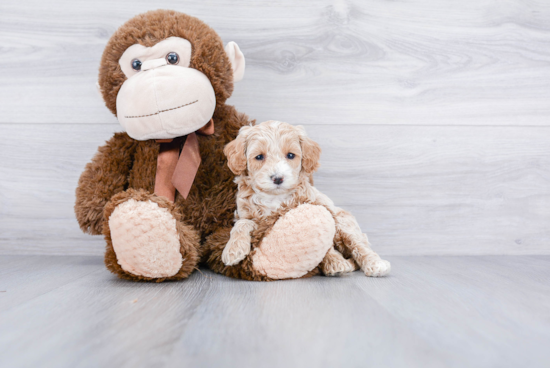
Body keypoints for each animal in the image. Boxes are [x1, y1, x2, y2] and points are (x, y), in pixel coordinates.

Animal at [221, 119, 392, 278]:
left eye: (290, 155)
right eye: (259, 157)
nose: (278, 178)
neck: (275, 198)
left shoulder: (318, 206)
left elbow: (326, 241)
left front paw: (335, 261)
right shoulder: (247, 215)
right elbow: (241, 224)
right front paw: (233, 249)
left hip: (344, 223)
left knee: (359, 244)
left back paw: (374, 264)